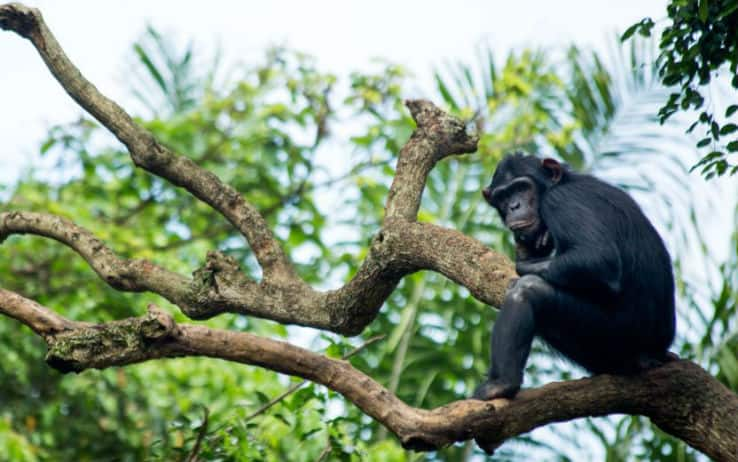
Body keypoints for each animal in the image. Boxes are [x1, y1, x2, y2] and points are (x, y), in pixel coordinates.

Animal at [472, 153, 672, 398]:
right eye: (503, 196)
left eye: (521, 188)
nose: (514, 205)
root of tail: (657, 349)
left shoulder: (561, 202)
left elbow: (597, 259)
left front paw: (525, 263)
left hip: (615, 333)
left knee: (528, 291)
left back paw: (501, 383)